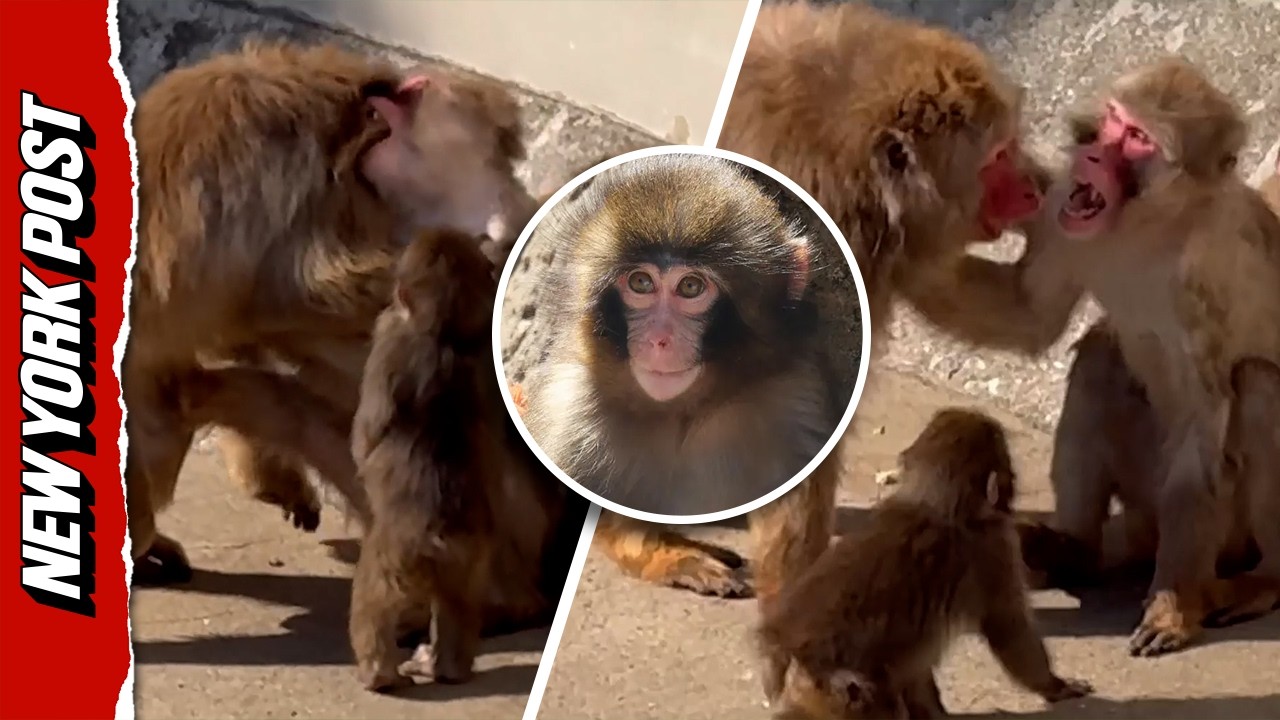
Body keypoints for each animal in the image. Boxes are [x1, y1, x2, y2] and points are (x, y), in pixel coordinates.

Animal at [518, 151, 847, 518]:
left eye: (691, 287)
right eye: (641, 282)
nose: (659, 340)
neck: (678, 417)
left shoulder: (798, 404)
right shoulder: (567, 409)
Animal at [757, 409, 1093, 719]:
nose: (1012, 484)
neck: (938, 502)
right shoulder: (996, 550)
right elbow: (1009, 628)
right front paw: (1056, 686)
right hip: (840, 693)